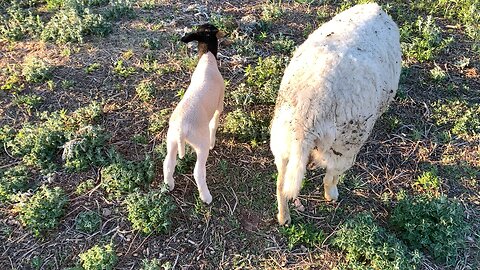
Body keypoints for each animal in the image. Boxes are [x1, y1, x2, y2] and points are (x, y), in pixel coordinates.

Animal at [163, 24, 225, 204]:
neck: (206, 59)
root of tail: (181, 129)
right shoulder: (219, 104)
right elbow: (214, 124)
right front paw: (213, 141)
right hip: (200, 145)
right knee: (198, 172)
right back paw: (206, 197)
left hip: (171, 141)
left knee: (168, 163)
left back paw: (169, 185)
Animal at [270, 3, 402, 225]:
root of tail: (307, 116)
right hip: (344, 146)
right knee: (331, 176)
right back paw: (332, 195)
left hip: (283, 143)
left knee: (281, 184)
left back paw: (284, 217)